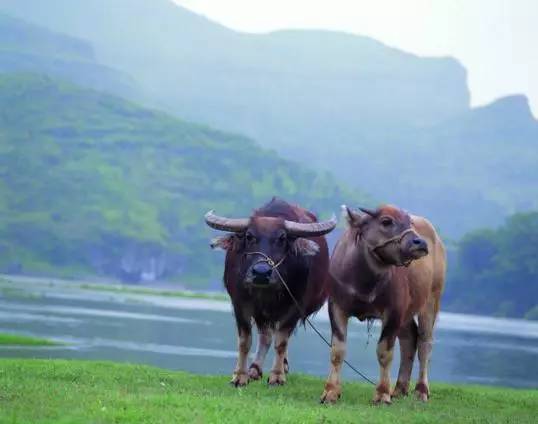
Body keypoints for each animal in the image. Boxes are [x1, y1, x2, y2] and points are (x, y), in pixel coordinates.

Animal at [205, 197, 336, 386]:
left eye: (282, 238)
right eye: (249, 236)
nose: (261, 272)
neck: (266, 291)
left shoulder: (295, 307)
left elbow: (281, 342)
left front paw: (277, 375)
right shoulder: (240, 304)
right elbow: (245, 341)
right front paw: (240, 375)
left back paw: (283, 366)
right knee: (265, 336)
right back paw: (254, 369)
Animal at [318, 205, 444, 404]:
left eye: (409, 222)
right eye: (386, 221)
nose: (420, 243)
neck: (363, 280)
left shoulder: (393, 312)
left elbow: (384, 352)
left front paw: (382, 393)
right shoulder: (336, 307)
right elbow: (337, 351)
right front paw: (330, 392)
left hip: (431, 300)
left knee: (425, 343)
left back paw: (421, 390)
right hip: (406, 313)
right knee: (409, 339)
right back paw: (399, 389)